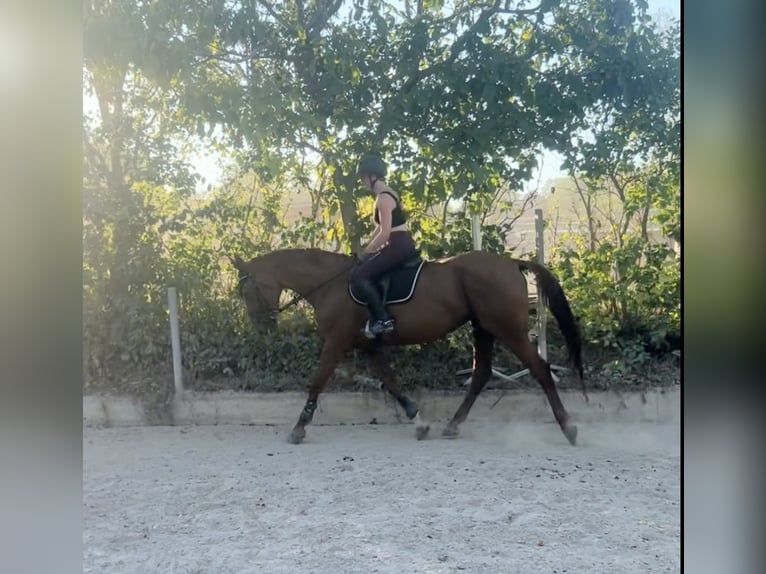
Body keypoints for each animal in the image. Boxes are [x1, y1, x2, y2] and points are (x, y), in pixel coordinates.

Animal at [231, 248, 584, 446]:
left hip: (506, 328)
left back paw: (569, 428)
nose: (262, 328)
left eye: (248, 291)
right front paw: (420, 422)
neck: (330, 284)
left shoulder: (336, 341)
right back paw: (452, 426)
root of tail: (511, 262)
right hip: (482, 328)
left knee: (539, 369)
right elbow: (391, 382)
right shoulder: (368, 346)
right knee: (481, 373)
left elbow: (317, 381)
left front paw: (298, 429)